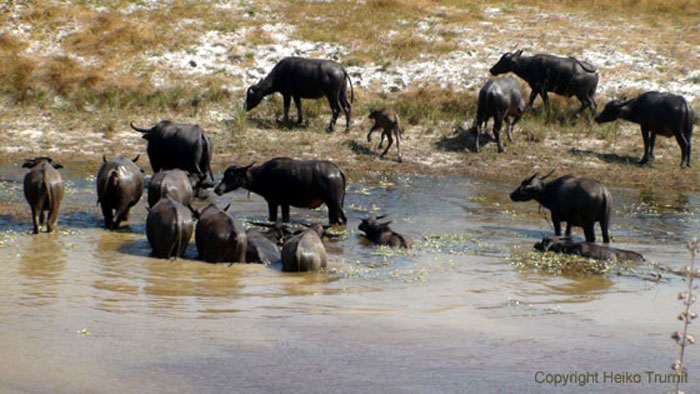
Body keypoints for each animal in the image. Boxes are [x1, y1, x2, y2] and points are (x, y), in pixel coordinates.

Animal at [212, 157, 346, 225]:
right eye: (224, 175)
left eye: (232, 176)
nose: (217, 189)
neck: (261, 175)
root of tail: (337, 170)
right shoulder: (285, 204)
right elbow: (285, 218)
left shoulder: (273, 202)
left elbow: (272, 218)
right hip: (332, 206)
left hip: (334, 203)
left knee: (343, 219)